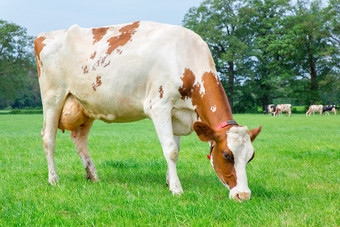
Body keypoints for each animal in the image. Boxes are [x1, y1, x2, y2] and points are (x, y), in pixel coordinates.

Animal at [34, 21, 262, 201]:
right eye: (226, 155)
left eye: (250, 157)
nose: (243, 195)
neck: (185, 58)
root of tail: (45, 35)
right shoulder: (159, 106)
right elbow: (170, 150)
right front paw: (176, 189)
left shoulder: (177, 113)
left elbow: (176, 150)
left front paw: (169, 181)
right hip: (53, 97)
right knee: (48, 138)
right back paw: (54, 179)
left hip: (85, 106)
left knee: (79, 139)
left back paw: (93, 176)